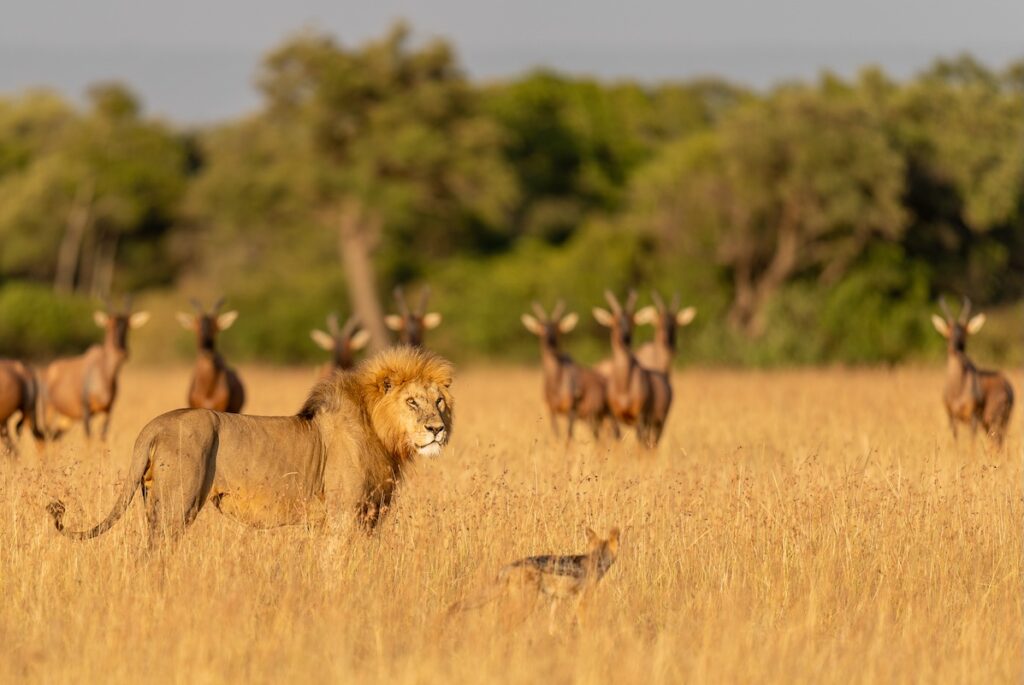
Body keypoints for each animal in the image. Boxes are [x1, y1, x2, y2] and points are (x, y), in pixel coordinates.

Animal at [42, 297, 149, 440]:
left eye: (128, 326)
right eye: (109, 325)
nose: (122, 352)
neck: (103, 370)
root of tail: (50, 370)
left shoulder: (108, 411)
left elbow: (102, 436)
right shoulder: (86, 411)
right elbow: (89, 437)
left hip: (66, 418)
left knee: (55, 436)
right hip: (49, 410)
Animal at [47, 346, 453, 547]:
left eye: (440, 402)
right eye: (412, 402)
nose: (437, 429)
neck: (382, 433)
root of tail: (153, 426)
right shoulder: (343, 515)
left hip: (153, 501)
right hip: (179, 503)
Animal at [521, 301, 617, 441]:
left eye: (558, 329)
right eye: (541, 328)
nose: (550, 344)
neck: (557, 380)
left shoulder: (571, 411)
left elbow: (569, 435)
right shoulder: (551, 411)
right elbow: (556, 434)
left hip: (607, 416)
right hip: (594, 418)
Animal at [593, 290, 672, 448]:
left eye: (632, 322)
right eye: (615, 321)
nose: (626, 339)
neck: (624, 386)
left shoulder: (640, 417)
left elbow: (640, 443)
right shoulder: (614, 417)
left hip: (658, 423)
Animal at [931, 296, 1014, 448]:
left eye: (964, 332)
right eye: (948, 331)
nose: (958, 347)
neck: (958, 387)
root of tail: (1008, 386)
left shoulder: (973, 418)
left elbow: (972, 443)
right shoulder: (951, 417)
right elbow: (956, 440)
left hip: (996, 421)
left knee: (998, 441)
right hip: (989, 423)